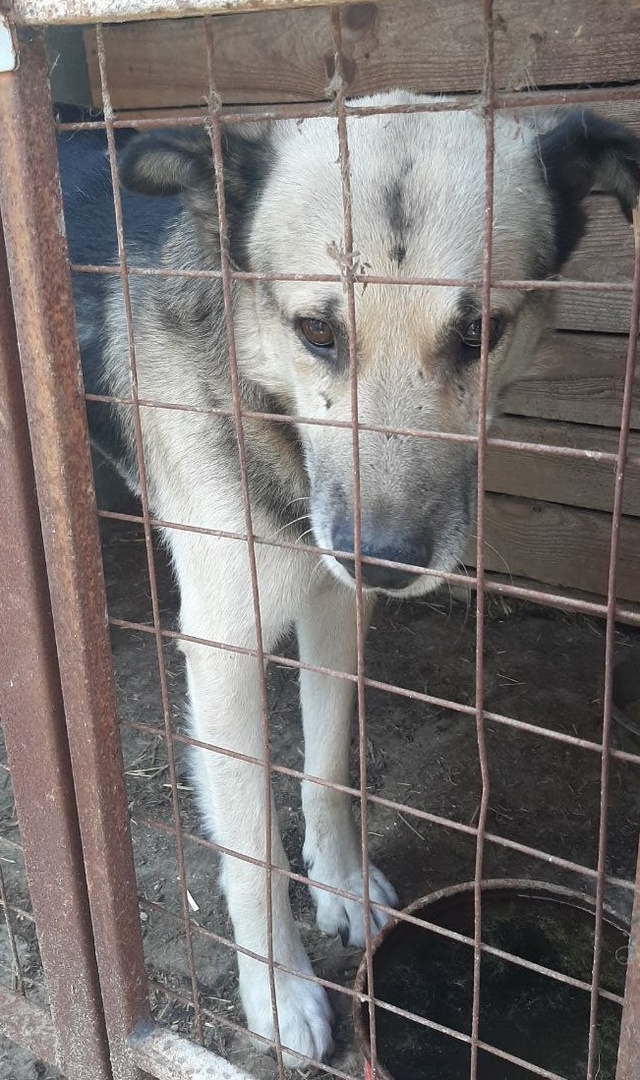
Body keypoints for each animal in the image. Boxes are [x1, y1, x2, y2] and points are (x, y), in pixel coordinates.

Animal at [59, 92, 639, 1064]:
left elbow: (327, 768)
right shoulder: (223, 645)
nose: (389, 559)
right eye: (317, 332)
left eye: (478, 332)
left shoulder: (337, 606)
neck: (264, 399)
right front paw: (280, 991)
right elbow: (253, 850)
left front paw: (339, 884)